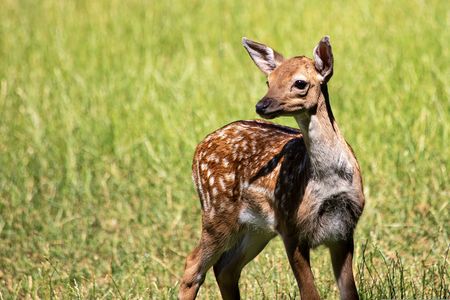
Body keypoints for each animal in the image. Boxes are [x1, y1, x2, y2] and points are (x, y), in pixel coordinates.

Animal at [178, 35, 364, 300]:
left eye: (300, 83)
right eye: (269, 80)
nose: (261, 105)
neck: (328, 181)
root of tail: (198, 147)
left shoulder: (344, 228)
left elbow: (349, 293)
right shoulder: (291, 226)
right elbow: (310, 294)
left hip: (256, 228)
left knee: (225, 268)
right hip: (217, 212)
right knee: (193, 264)